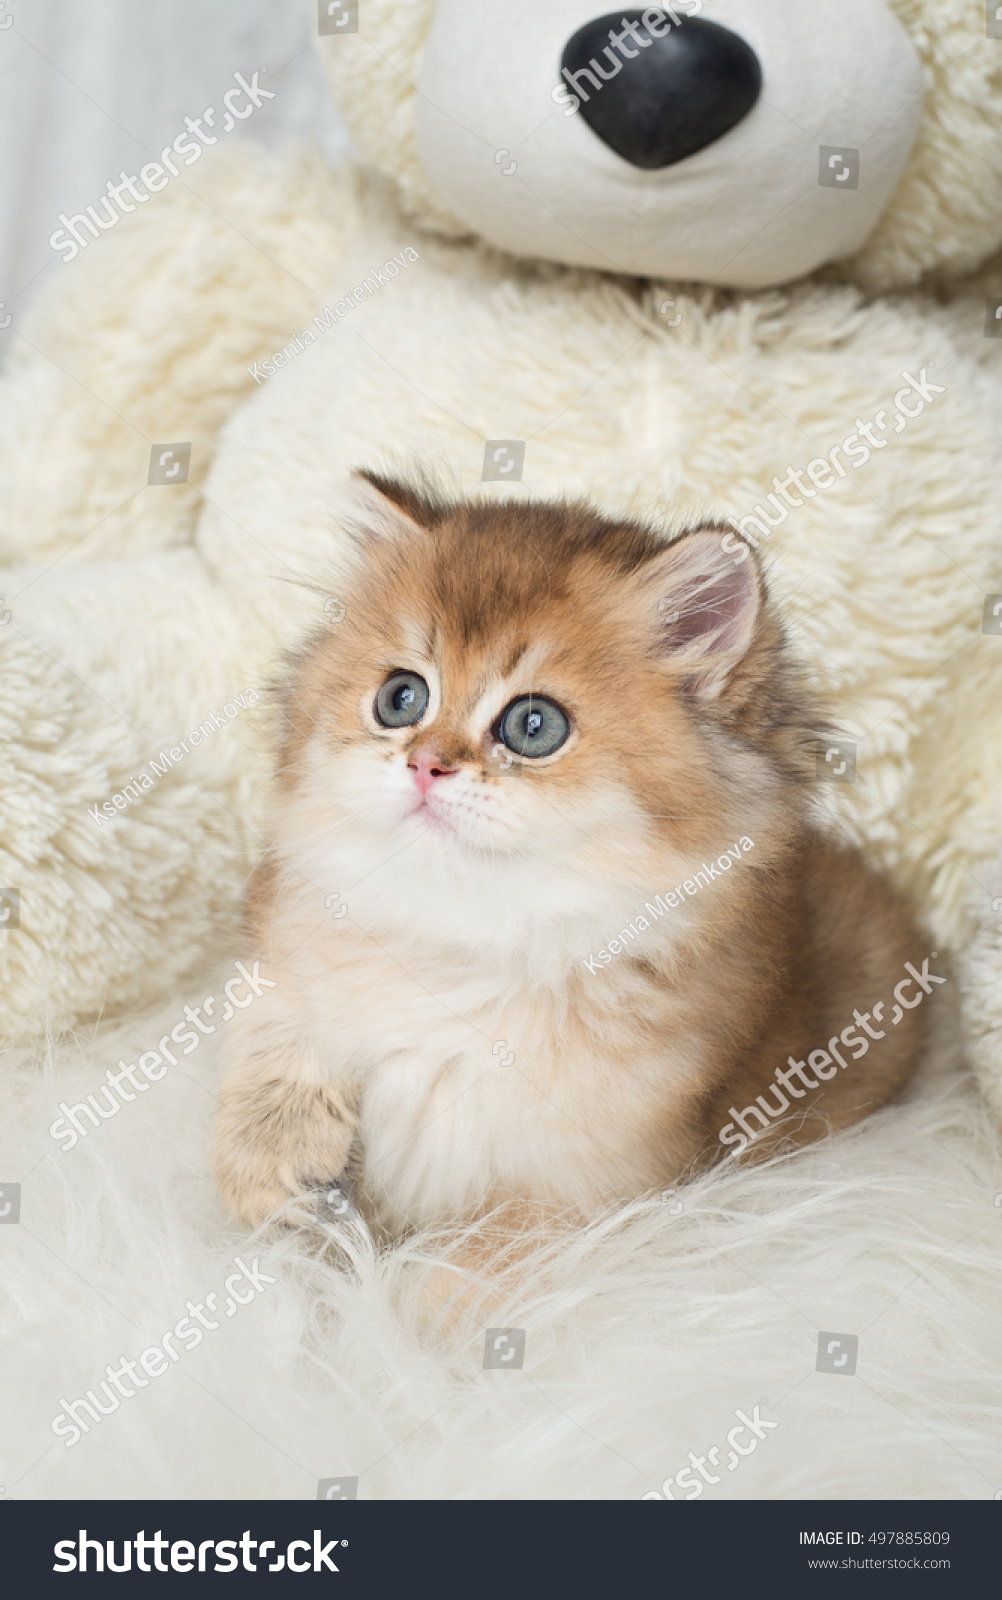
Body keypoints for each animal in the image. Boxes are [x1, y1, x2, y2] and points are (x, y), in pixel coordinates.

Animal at [214, 473, 934, 1235]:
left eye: (534, 726)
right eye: (400, 698)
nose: (425, 764)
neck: (470, 939)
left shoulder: (576, 1192)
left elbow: (472, 1259)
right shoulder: (287, 930)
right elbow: (275, 1016)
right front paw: (271, 1161)